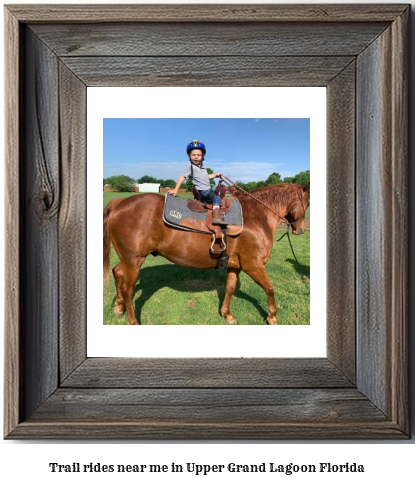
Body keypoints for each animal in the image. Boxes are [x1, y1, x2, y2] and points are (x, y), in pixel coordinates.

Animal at [103, 182, 310, 324]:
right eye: (307, 203)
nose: (300, 229)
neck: (257, 217)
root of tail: (119, 203)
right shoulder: (254, 265)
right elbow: (270, 288)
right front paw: (272, 316)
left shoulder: (235, 266)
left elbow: (230, 288)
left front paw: (227, 314)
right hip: (134, 260)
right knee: (128, 289)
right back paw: (132, 320)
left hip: (127, 259)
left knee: (117, 272)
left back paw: (119, 307)